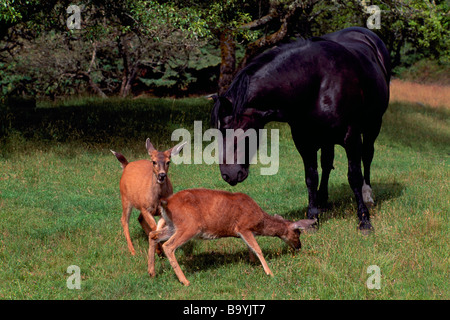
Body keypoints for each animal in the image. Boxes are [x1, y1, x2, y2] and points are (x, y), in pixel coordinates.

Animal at [149, 188, 316, 284]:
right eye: (298, 232)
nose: (299, 246)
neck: (259, 220)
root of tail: (166, 202)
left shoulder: (244, 232)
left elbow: (250, 247)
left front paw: (252, 262)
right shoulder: (243, 226)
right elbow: (257, 249)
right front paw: (270, 272)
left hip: (173, 225)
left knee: (153, 234)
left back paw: (151, 272)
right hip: (189, 226)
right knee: (168, 246)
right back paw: (185, 281)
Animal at [211, 26, 390, 230]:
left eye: (230, 129)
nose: (228, 174)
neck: (318, 84)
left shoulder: (350, 136)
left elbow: (354, 176)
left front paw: (364, 220)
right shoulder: (304, 140)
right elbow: (311, 177)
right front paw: (312, 217)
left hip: (373, 125)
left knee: (367, 156)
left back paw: (367, 195)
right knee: (327, 163)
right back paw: (322, 200)